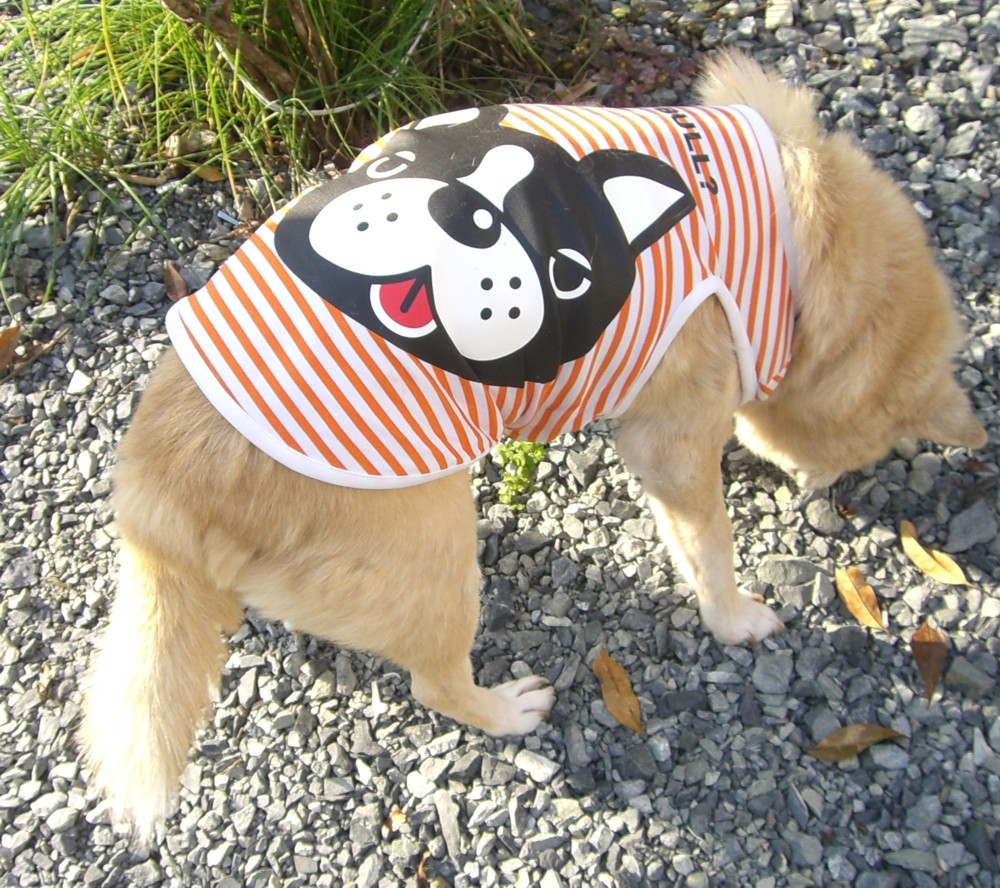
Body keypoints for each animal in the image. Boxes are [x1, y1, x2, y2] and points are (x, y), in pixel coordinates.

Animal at [79, 52, 987, 842]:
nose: (824, 499)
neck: (795, 231)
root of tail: (156, 496)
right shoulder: (671, 432)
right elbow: (710, 549)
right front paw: (737, 620)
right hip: (437, 564)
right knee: (436, 683)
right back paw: (508, 711)